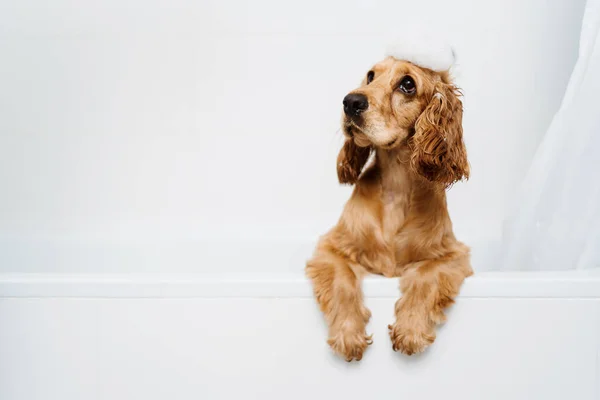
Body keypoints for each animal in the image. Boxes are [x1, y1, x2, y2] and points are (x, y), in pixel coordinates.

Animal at [308, 51, 472, 360]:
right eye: (371, 75)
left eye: (407, 84)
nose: (351, 101)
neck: (397, 186)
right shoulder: (331, 246)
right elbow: (342, 279)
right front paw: (348, 334)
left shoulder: (453, 253)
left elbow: (427, 276)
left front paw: (411, 330)